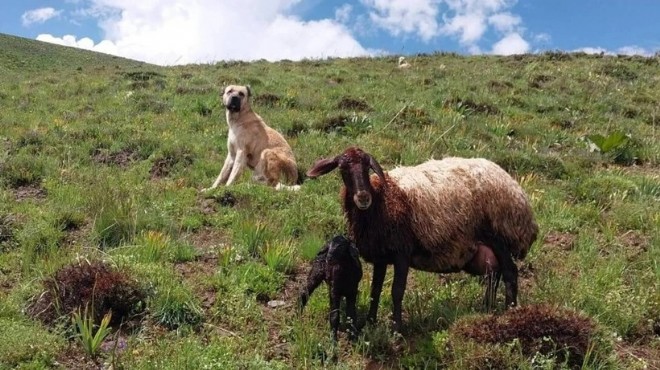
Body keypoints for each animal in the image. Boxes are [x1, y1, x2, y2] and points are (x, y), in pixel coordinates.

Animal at [306, 147, 540, 332]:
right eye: (342, 169)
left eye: (367, 167)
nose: (363, 197)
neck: (381, 199)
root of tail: (516, 190)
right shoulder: (381, 256)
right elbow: (375, 290)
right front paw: (370, 323)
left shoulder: (402, 252)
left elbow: (396, 291)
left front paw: (396, 329)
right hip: (484, 248)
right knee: (495, 273)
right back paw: (488, 308)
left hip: (500, 235)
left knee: (510, 272)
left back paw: (510, 313)